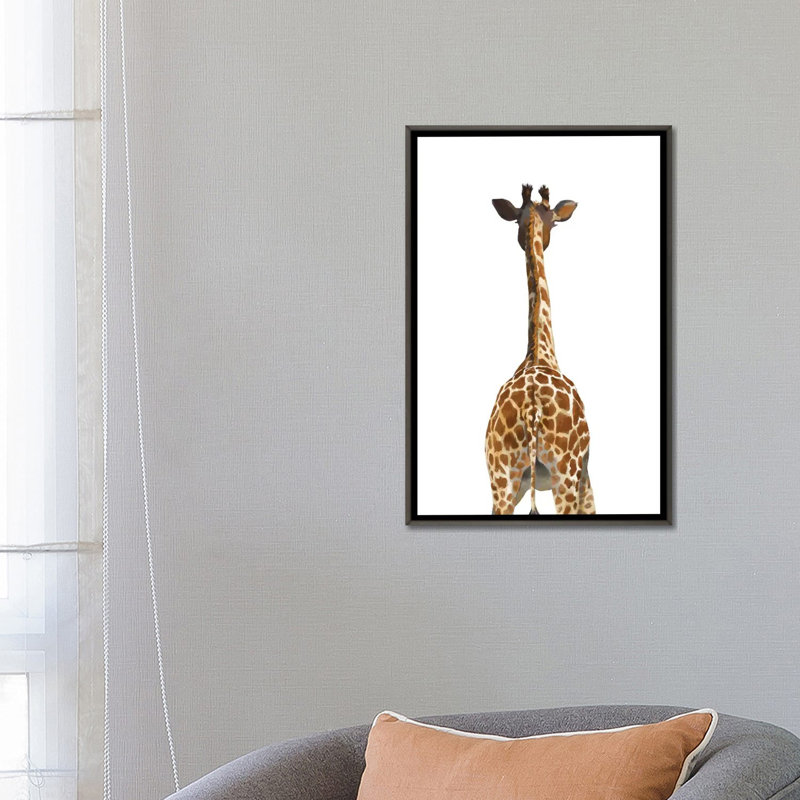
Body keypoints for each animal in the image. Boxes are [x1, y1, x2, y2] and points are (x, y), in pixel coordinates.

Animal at [485, 184, 595, 515]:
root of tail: (532, 410)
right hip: (565, 474)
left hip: (502, 480)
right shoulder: (586, 476)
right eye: (555, 223)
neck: (541, 353)